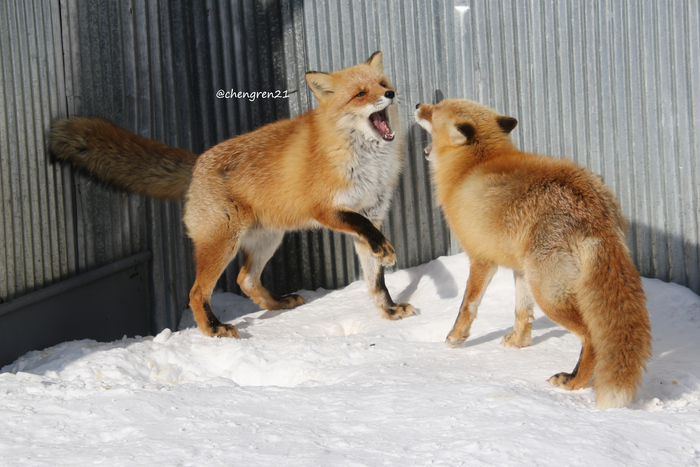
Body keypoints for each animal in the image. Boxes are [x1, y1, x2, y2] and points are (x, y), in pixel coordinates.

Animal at [53, 53, 422, 340]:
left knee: (245, 279)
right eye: (360, 93)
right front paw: (387, 255)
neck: (363, 158)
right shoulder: (327, 209)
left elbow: (376, 279)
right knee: (196, 292)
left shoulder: (372, 212)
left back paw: (277, 304)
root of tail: (198, 162)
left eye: (381, 83)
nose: (391, 93)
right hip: (222, 242)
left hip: (267, 239)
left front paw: (389, 310)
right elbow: (366, 235)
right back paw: (214, 329)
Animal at [416, 98, 652, 410]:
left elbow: (468, 305)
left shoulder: (481, 259)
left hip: (548, 292)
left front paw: (456, 338)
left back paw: (574, 382)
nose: (417, 104)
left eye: (435, 109)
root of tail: (592, 207)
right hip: (540, 278)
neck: (471, 166)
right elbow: (522, 313)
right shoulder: (519, 269)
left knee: (592, 337)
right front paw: (519, 343)